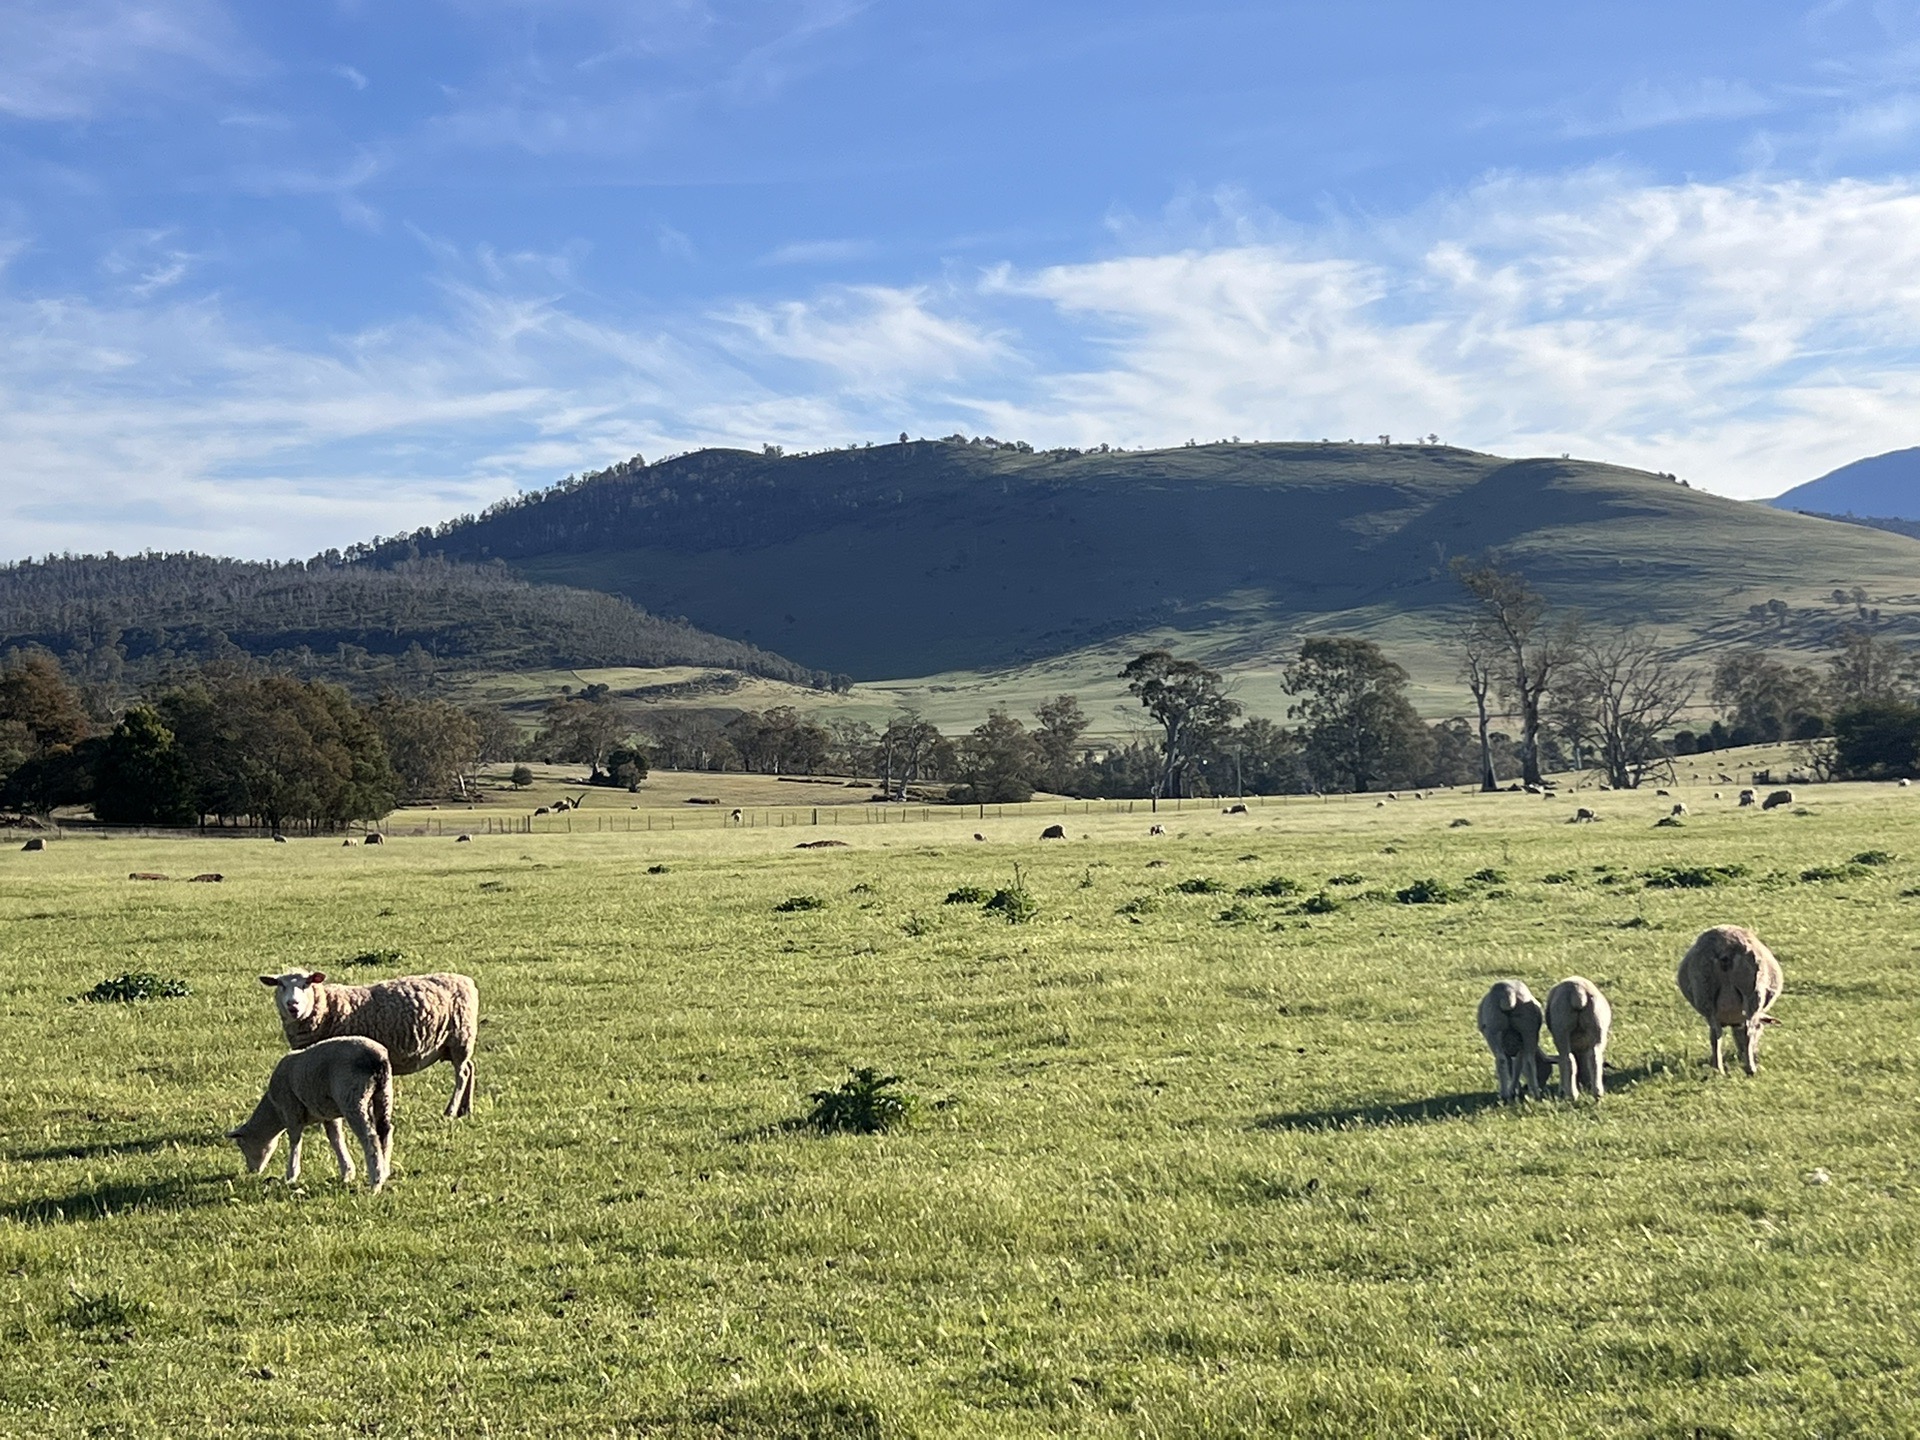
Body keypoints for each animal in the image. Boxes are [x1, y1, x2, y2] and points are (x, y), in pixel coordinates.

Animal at [224, 1036, 389, 1198]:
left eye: (241, 1144)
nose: (252, 1172)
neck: (275, 1111)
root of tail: (377, 1058)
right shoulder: (328, 1115)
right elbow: (336, 1139)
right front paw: (347, 1173)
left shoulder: (291, 1110)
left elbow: (295, 1141)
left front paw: (291, 1175)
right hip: (383, 1094)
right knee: (384, 1132)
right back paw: (384, 1171)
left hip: (352, 1098)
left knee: (370, 1138)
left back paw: (376, 1182)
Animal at [259, 975, 480, 1121]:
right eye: (280, 984)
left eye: (306, 984)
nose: (293, 1006)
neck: (328, 1009)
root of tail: (466, 981)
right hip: (451, 1046)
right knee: (470, 1068)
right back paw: (465, 1109)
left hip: (460, 1038)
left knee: (462, 1074)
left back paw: (450, 1111)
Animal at [1681, 929, 1781, 1075]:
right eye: (1760, 1028)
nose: (1755, 1055)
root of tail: (1726, 945)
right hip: (1752, 992)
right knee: (1747, 1033)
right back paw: (1750, 1069)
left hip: (1705, 991)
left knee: (1715, 1035)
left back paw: (1718, 1069)